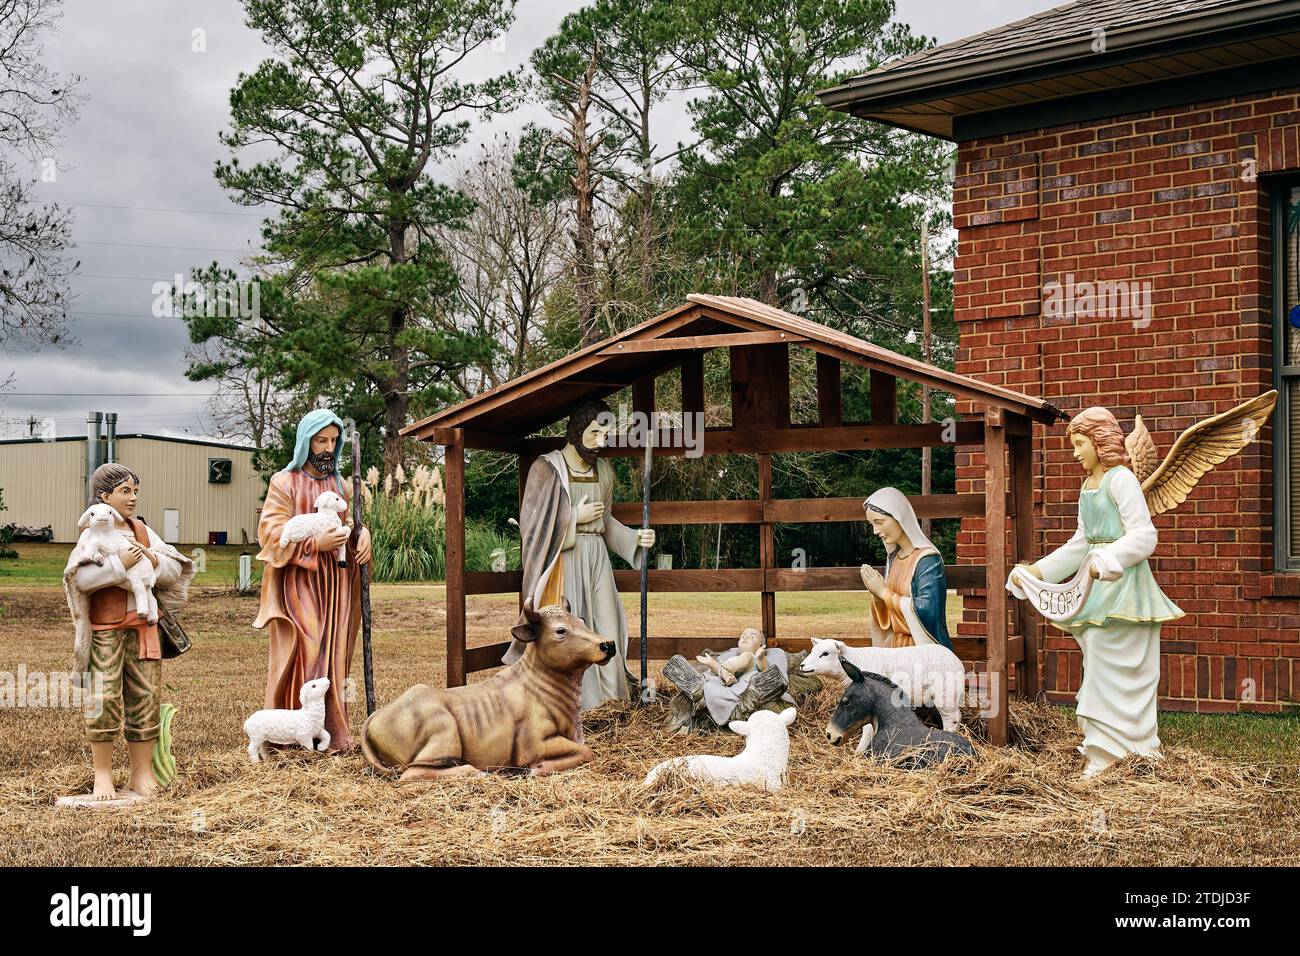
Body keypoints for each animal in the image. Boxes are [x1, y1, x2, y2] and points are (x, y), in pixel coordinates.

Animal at [795, 639, 972, 749]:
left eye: (825, 653)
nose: (802, 666)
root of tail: (957, 660)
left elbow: (867, 729)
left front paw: (860, 751)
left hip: (945, 693)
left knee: (951, 719)